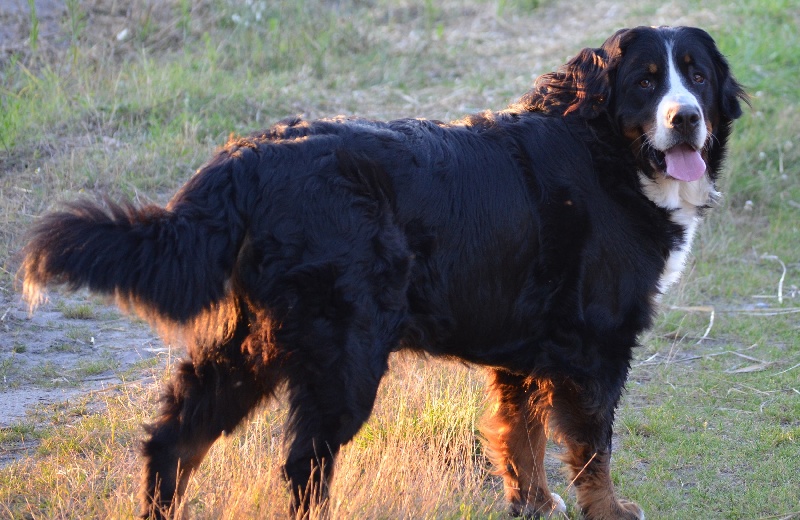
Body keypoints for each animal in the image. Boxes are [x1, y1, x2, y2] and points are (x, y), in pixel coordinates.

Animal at [18, 25, 744, 520]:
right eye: (646, 81)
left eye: (698, 78)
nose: (686, 118)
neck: (605, 151)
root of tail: (248, 157)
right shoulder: (596, 342)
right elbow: (594, 448)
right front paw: (609, 510)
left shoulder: (525, 342)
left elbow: (522, 435)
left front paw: (533, 502)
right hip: (343, 353)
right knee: (303, 465)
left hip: (256, 342)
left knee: (176, 436)